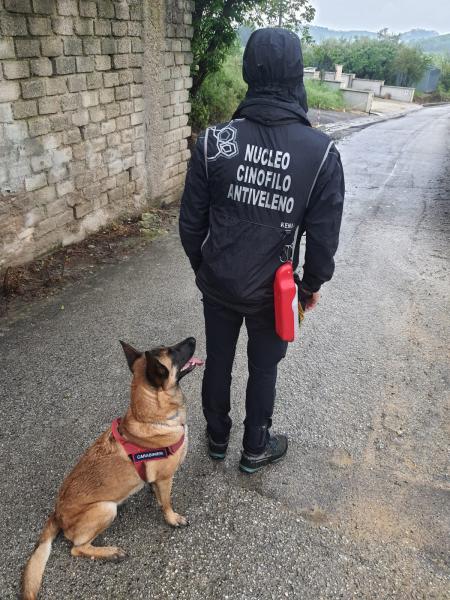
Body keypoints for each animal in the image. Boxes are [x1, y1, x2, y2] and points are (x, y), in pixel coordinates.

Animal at [22, 338, 202, 600]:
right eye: (172, 351)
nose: (192, 339)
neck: (150, 416)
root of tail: (57, 514)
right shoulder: (166, 477)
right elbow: (167, 503)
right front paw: (172, 518)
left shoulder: (158, 479)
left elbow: (158, 493)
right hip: (105, 508)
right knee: (77, 549)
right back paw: (109, 552)